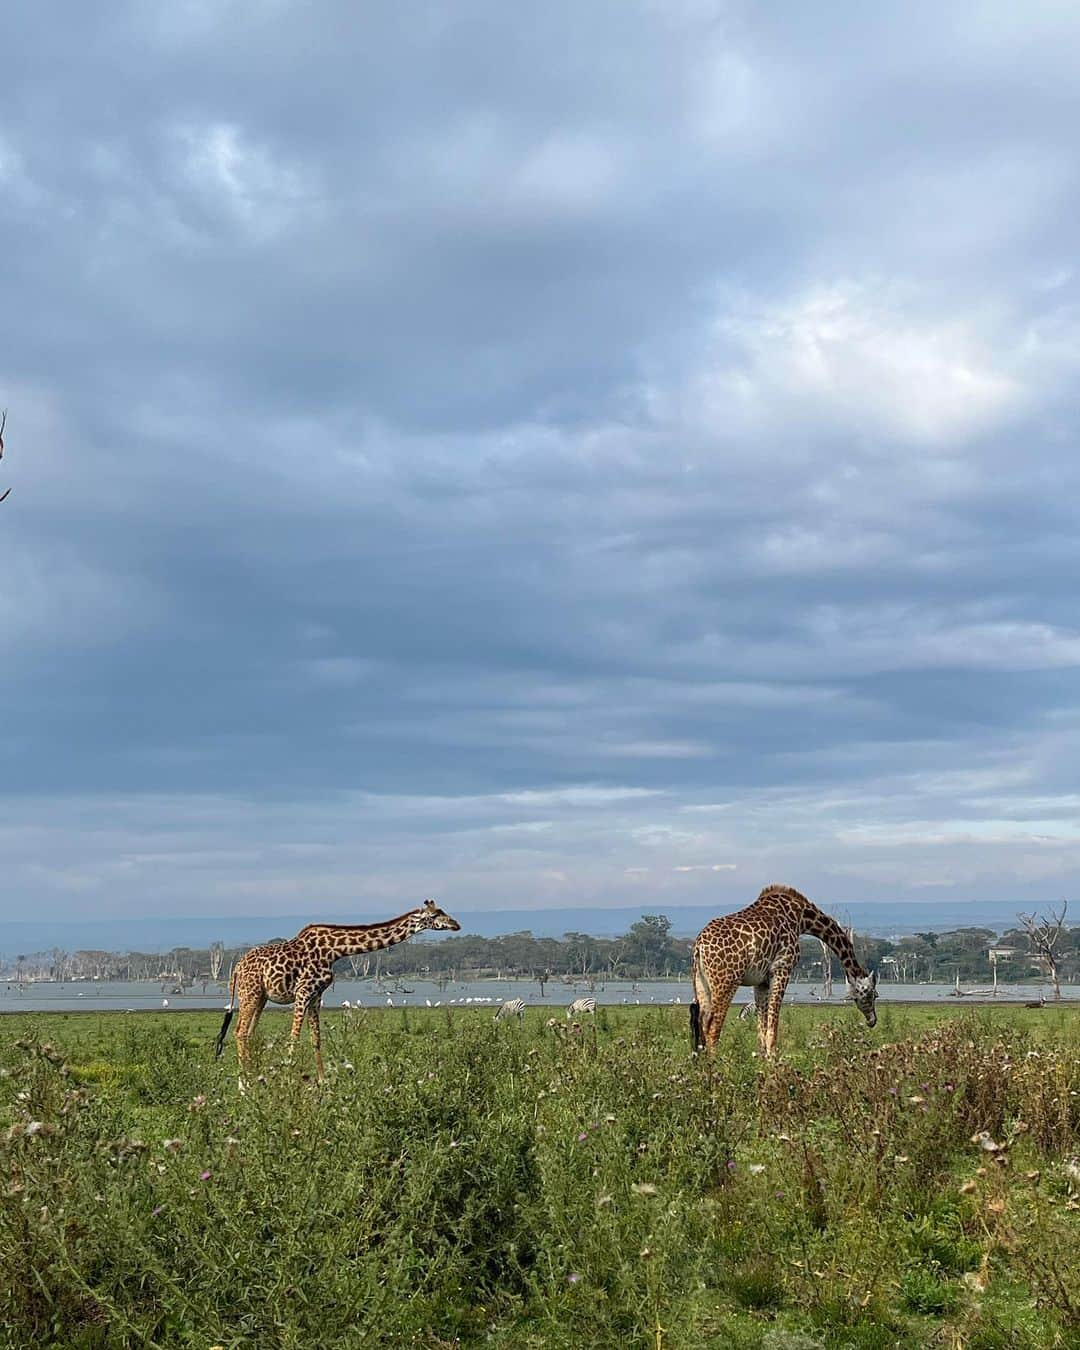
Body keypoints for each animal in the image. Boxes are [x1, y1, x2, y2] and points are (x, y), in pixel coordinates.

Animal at [214, 901, 459, 1080]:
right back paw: (245, 1083)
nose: (456, 924)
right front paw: (289, 1078)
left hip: (261, 997)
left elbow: (316, 1039)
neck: (335, 951)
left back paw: (254, 1077)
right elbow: (294, 1038)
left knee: (248, 1032)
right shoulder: (303, 992)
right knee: (240, 1031)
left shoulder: (316, 995)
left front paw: (323, 1082)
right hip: (250, 993)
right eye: (435, 915)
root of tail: (236, 968)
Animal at [691, 885, 874, 1063]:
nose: (873, 1021)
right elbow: (773, 1023)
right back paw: (716, 1065)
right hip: (727, 981)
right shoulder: (782, 968)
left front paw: (762, 1060)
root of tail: (699, 946)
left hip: (701, 982)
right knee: (712, 1025)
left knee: (701, 1022)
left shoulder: (761, 981)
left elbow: (762, 1026)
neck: (801, 917)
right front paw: (773, 1060)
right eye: (872, 994)